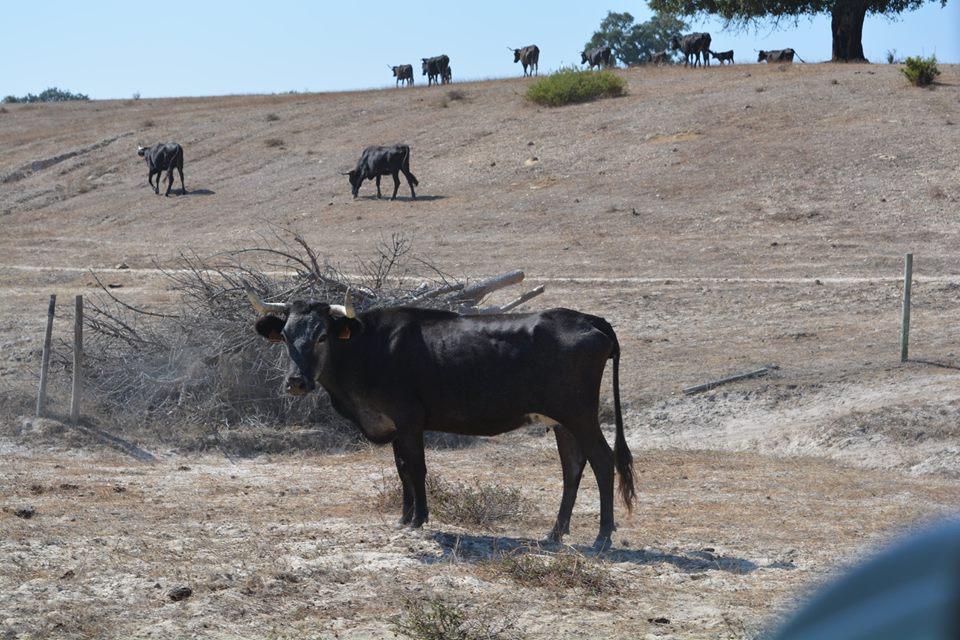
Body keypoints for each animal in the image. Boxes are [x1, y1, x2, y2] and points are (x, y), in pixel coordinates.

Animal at [247, 289, 636, 551]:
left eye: (322, 335)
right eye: (285, 336)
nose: (296, 382)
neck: (368, 347)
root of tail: (588, 319)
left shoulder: (409, 419)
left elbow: (416, 468)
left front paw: (419, 519)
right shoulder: (394, 426)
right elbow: (402, 468)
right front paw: (404, 517)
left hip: (580, 414)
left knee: (603, 461)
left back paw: (602, 536)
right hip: (562, 420)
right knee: (573, 466)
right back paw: (555, 532)